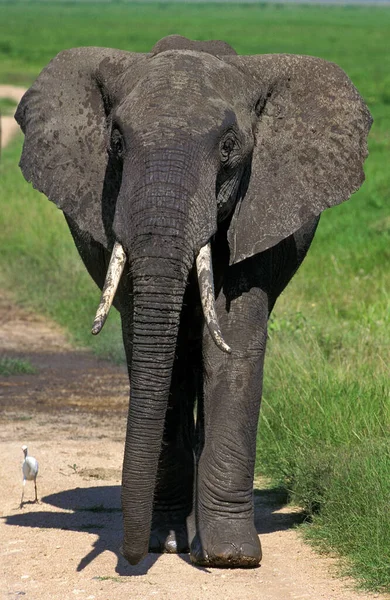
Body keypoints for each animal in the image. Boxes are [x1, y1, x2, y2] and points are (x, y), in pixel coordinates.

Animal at [16, 35, 372, 568]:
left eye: (228, 148)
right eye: (116, 144)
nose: (132, 556)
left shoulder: (257, 208)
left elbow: (233, 343)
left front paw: (230, 558)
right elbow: (158, 353)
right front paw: (166, 542)